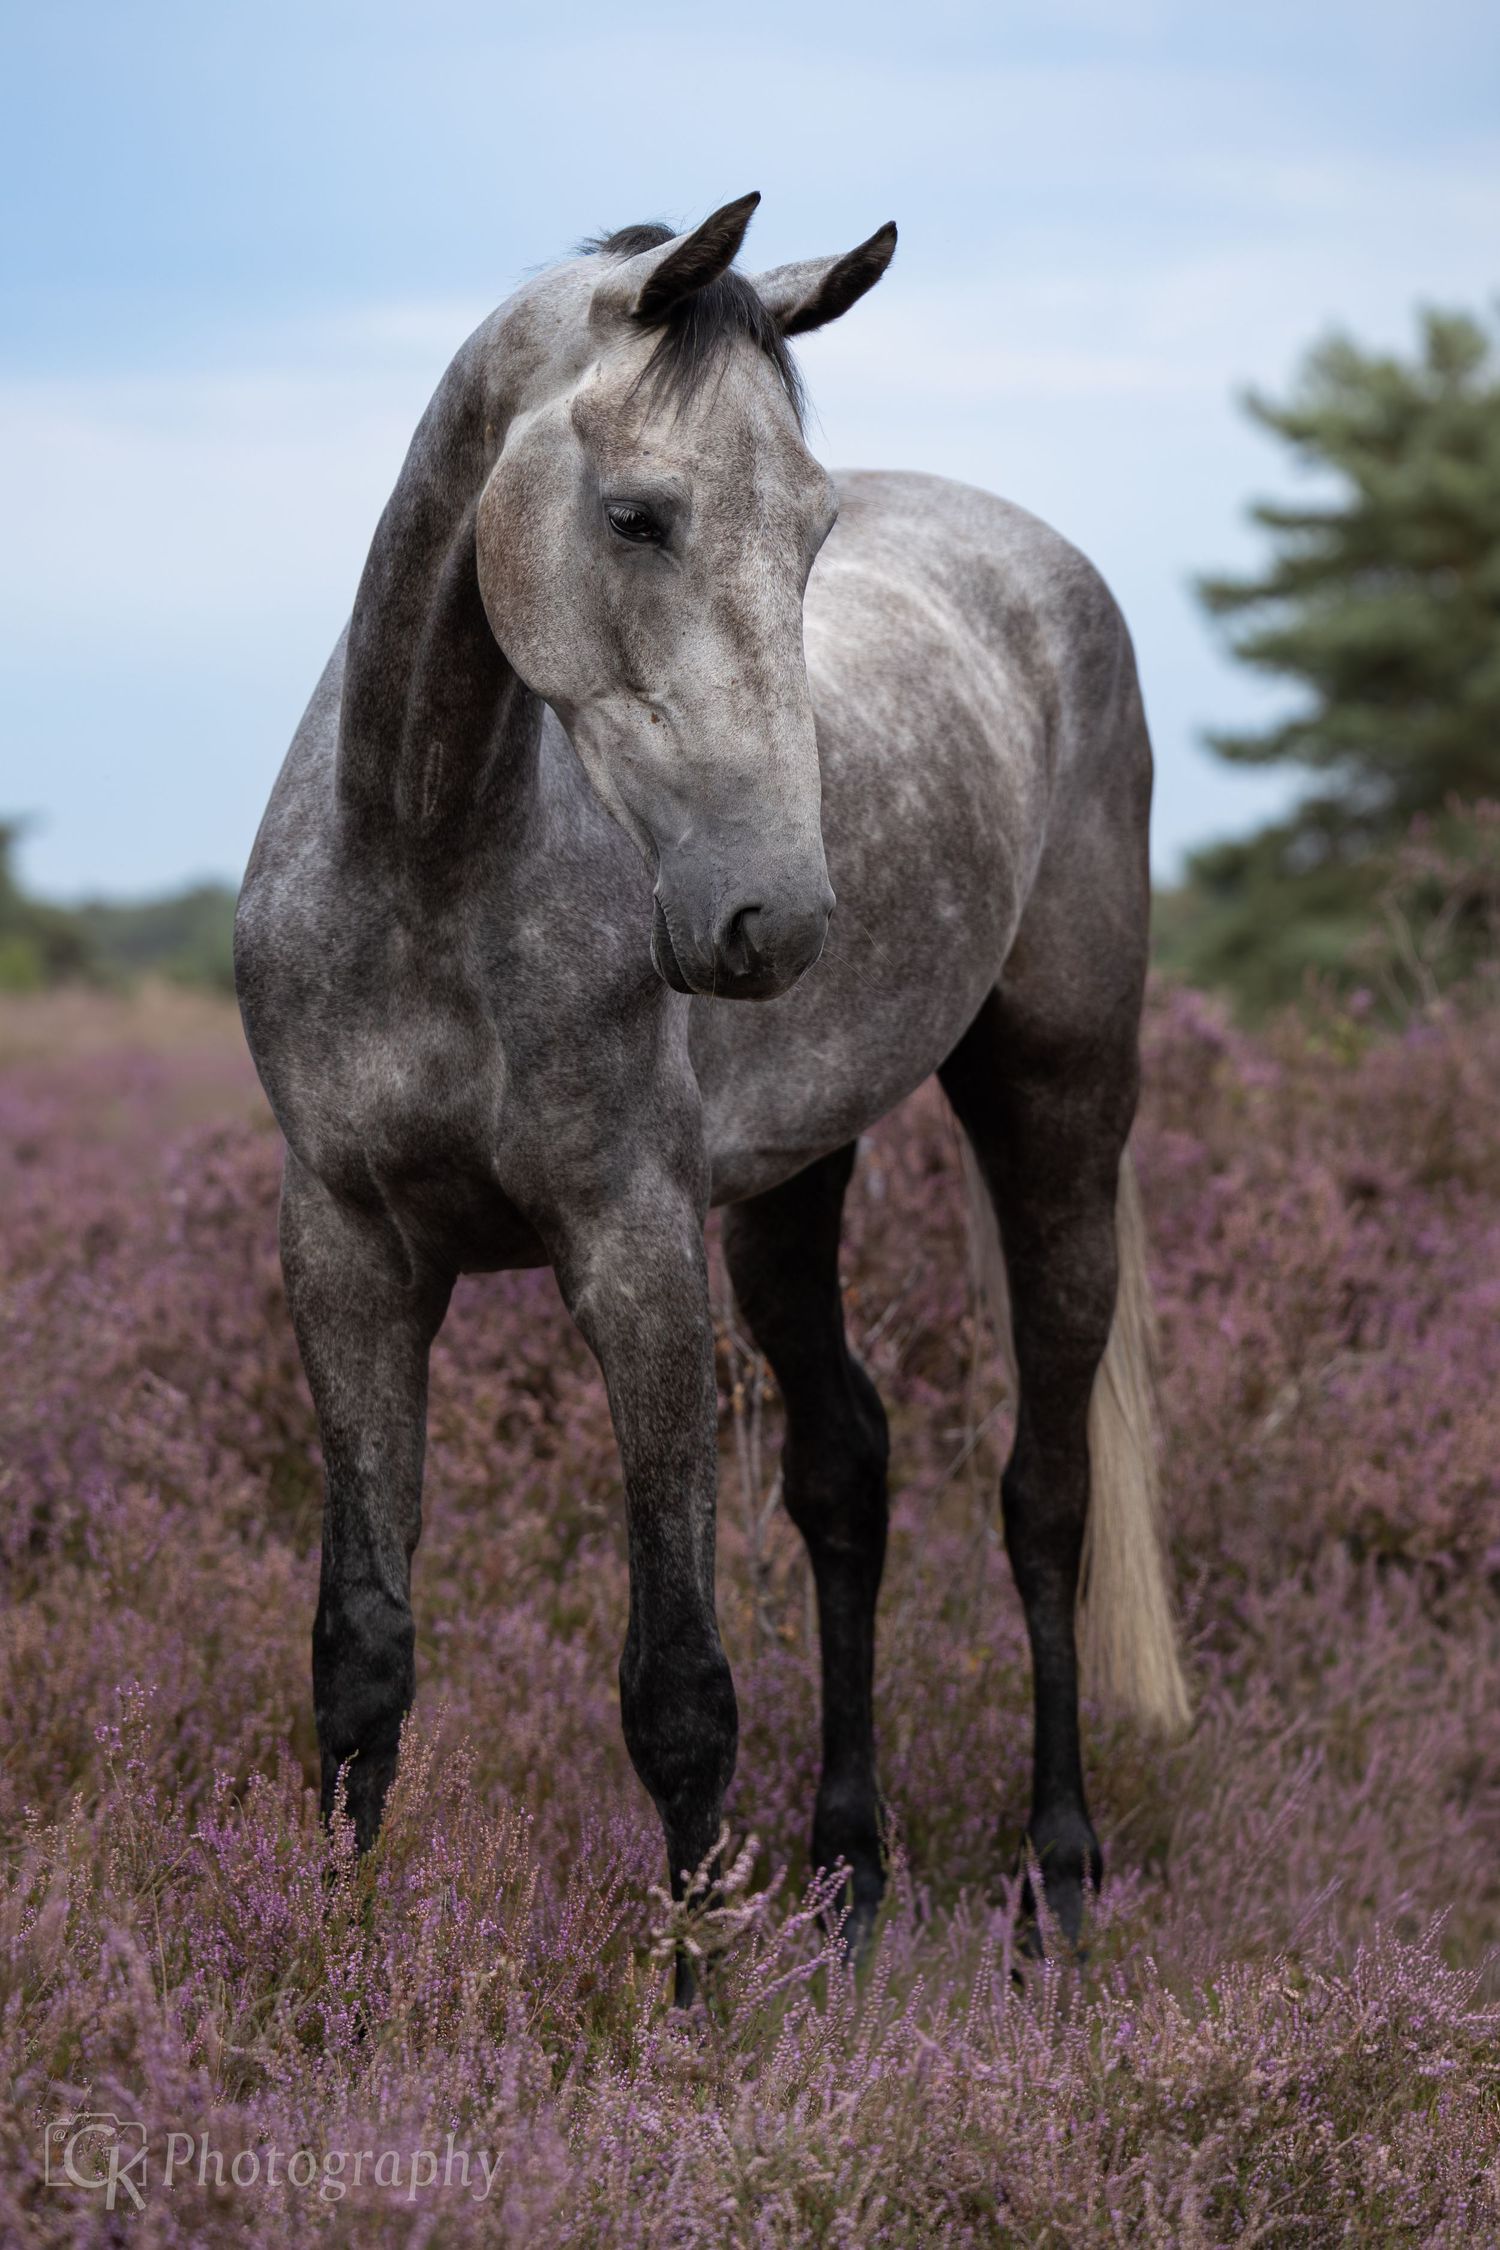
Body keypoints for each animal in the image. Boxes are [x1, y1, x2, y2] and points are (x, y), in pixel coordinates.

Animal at [235, 192, 1190, 1988]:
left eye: (812, 533)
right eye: (638, 515)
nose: (777, 918)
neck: (425, 858)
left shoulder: (633, 1254)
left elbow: (675, 1681)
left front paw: (695, 2003)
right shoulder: (346, 1253)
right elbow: (361, 1651)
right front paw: (329, 1978)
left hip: (1059, 1108)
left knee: (1045, 1497)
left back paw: (1059, 1889)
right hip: (795, 1182)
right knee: (846, 1478)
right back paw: (849, 1883)